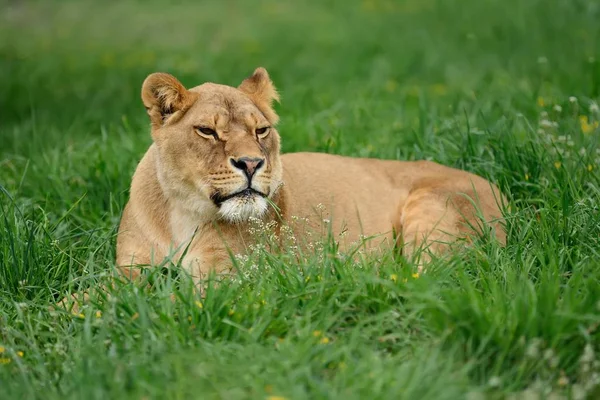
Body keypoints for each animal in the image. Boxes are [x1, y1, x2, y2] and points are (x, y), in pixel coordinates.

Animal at [113, 67, 506, 280]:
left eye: (261, 130)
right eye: (207, 131)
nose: (251, 164)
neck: (182, 211)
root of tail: (502, 192)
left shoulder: (230, 279)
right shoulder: (129, 266)